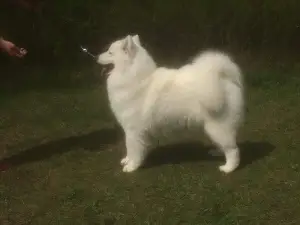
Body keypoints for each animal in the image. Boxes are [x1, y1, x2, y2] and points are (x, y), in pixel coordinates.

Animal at [98, 34, 244, 174]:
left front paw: (131, 166)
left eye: (110, 52)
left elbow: (133, 149)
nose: (97, 57)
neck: (136, 78)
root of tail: (223, 77)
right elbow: (130, 150)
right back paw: (218, 152)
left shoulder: (133, 131)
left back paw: (228, 168)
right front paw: (127, 160)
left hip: (217, 126)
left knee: (233, 149)